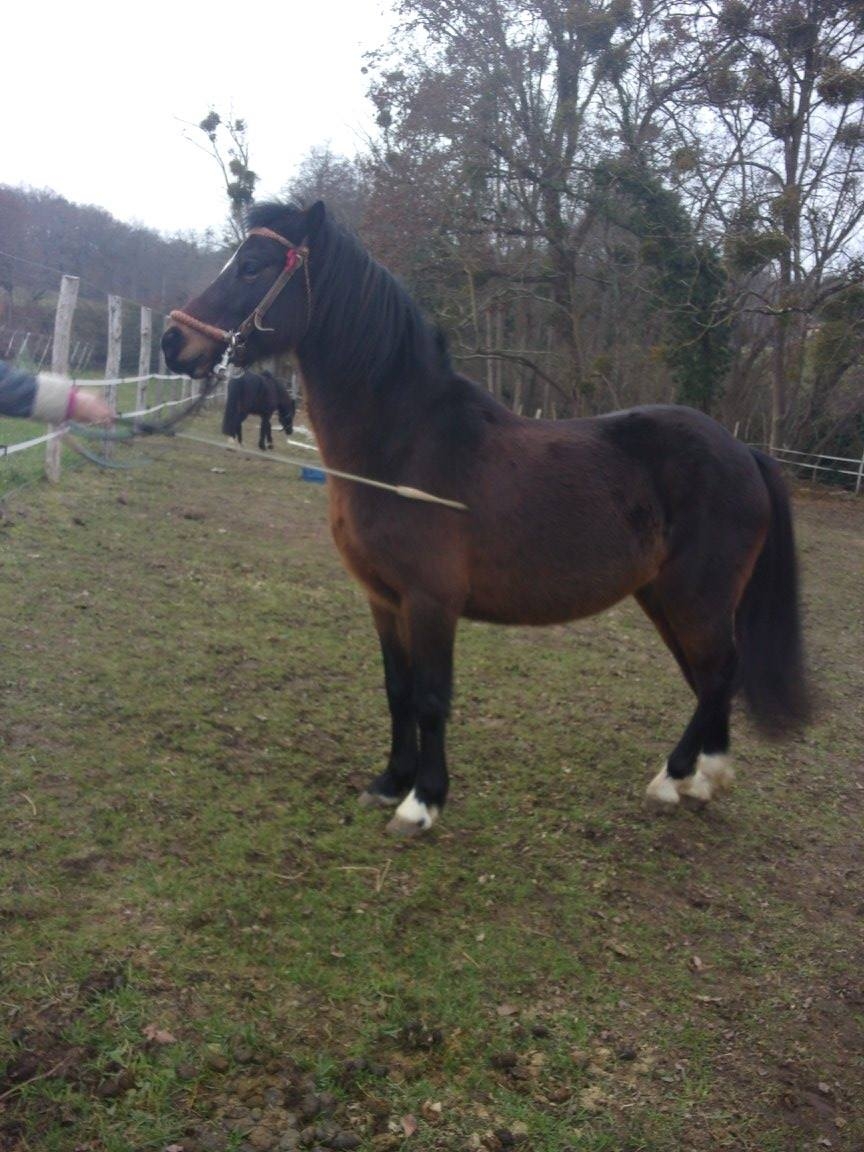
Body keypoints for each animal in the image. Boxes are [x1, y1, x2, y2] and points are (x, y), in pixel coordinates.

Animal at [162, 200, 811, 836]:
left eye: (253, 267)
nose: (173, 341)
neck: (407, 442)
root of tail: (743, 451)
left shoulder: (430, 601)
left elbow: (430, 698)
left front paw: (422, 802)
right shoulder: (383, 599)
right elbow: (397, 690)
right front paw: (389, 782)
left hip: (695, 597)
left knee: (719, 673)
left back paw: (677, 778)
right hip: (663, 597)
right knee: (710, 677)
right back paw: (700, 780)